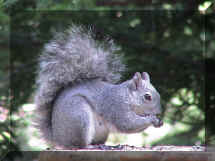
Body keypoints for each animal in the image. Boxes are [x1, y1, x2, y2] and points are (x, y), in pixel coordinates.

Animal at [34, 24, 163, 149]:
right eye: (147, 97)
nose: (159, 112)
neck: (127, 96)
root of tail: (57, 138)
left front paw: (159, 121)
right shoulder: (116, 107)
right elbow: (128, 123)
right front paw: (152, 119)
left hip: (100, 131)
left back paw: (102, 145)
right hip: (79, 115)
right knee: (77, 145)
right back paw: (88, 146)